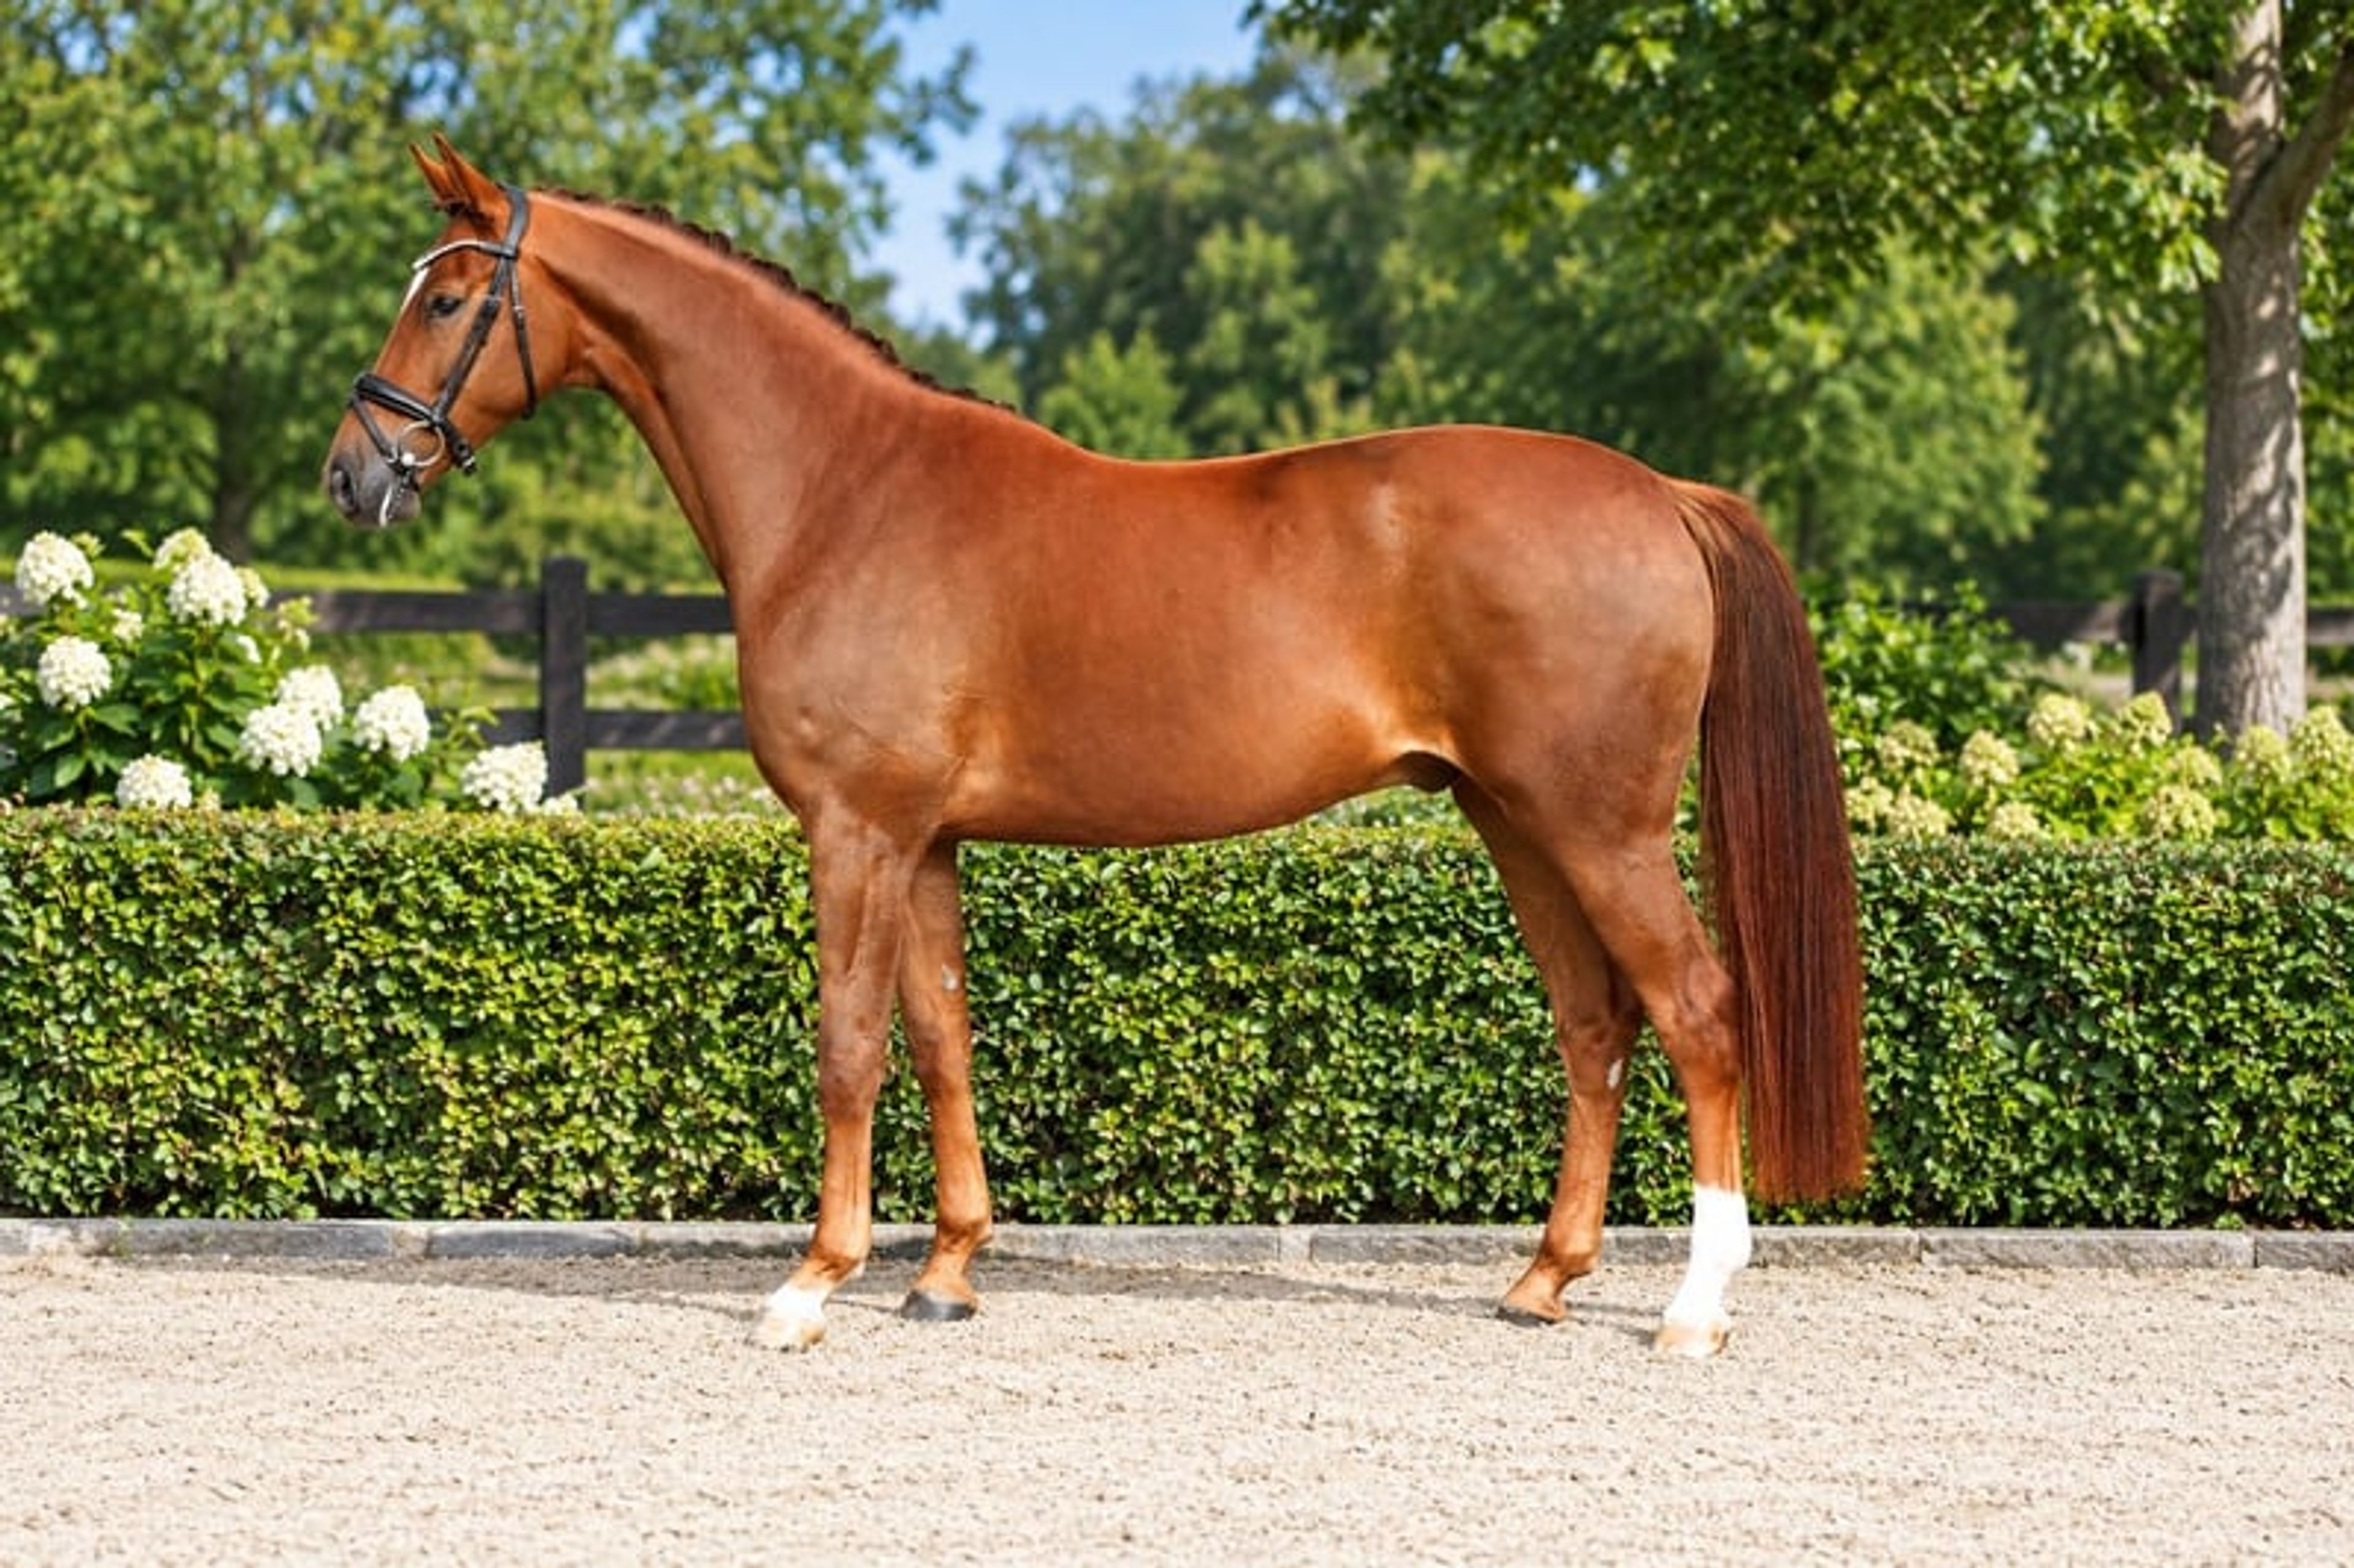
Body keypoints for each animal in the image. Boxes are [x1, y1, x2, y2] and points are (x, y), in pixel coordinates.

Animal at [324, 138, 1868, 1358]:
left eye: (449, 297)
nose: (354, 473)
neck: (846, 490)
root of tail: (1659, 493)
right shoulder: (926, 842)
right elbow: (942, 1037)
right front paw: (945, 1272)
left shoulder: (855, 830)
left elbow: (849, 1044)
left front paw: (812, 1283)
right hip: (1514, 820)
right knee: (1595, 1024)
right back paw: (1543, 1278)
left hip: (1598, 828)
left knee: (1697, 1013)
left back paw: (1692, 1307)